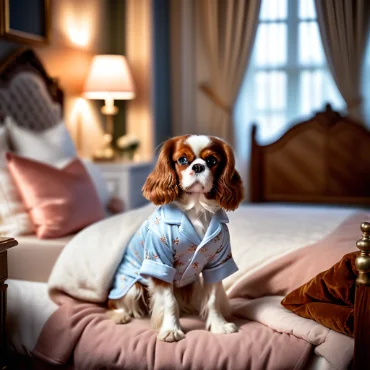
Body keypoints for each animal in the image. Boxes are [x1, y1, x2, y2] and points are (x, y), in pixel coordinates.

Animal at [107, 135, 243, 342]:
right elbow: (170, 302)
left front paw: (219, 326)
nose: (198, 166)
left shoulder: (216, 263)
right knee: (114, 303)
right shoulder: (160, 262)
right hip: (130, 287)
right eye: (182, 160)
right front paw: (171, 330)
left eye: (212, 161)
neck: (196, 207)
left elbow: (212, 300)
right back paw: (120, 315)